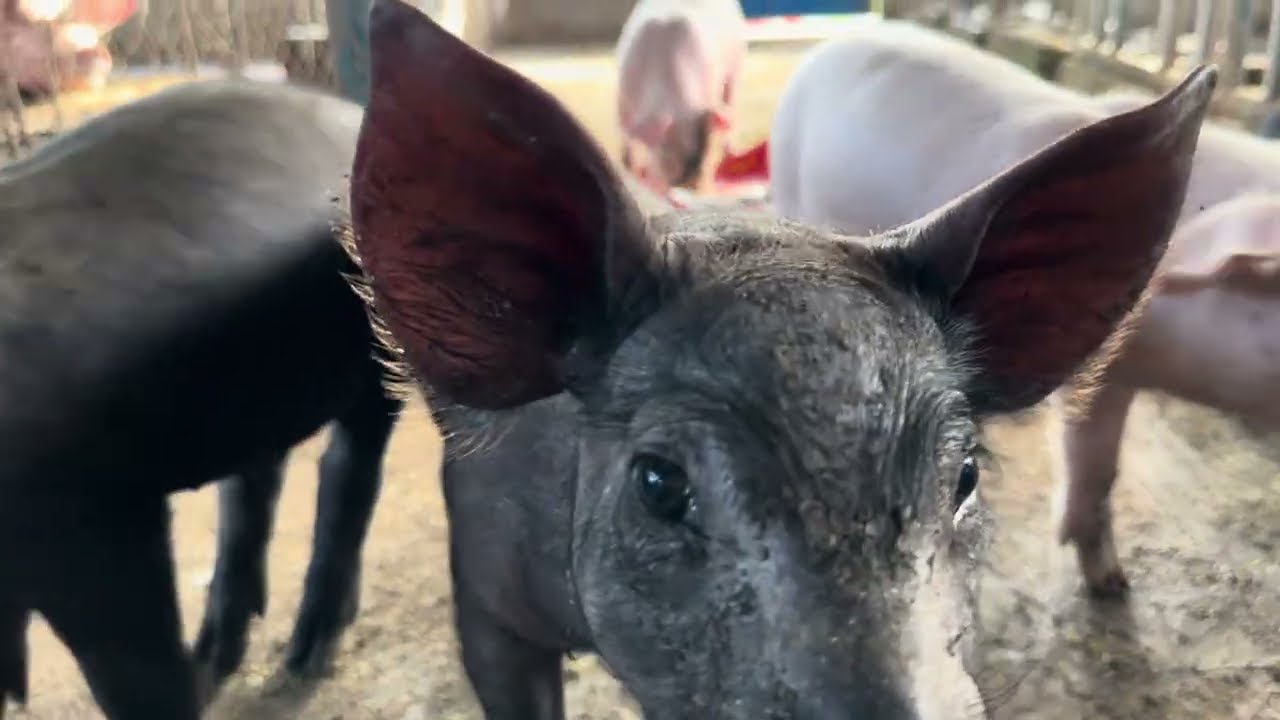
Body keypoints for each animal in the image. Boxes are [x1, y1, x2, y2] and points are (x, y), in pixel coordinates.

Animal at [0, 79, 400, 720]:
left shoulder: (96, 523)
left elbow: (137, 671)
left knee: (348, 470)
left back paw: (301, 662)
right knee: (254, 489)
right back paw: (220, 659)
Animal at [615, 0, 746, 194]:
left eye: (703, 148)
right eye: (664, 147)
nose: (688, 184)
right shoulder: (623, 97)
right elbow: (627, 138)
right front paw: (631, 169)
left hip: (737, 64)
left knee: (731, 103)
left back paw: (732, 150)